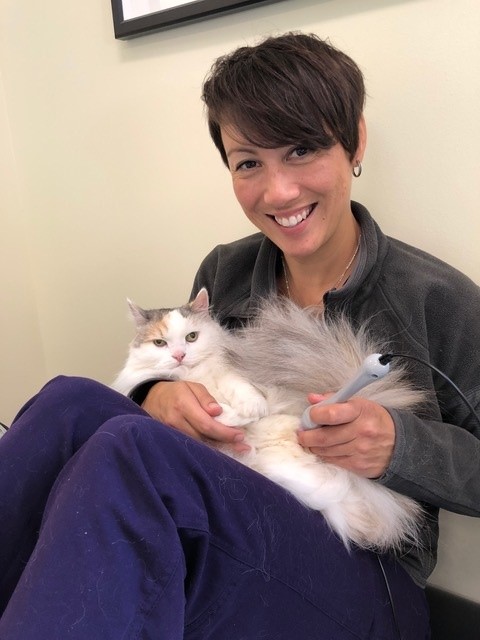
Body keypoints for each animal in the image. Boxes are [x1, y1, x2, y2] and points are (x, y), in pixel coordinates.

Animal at [111, 290, 424, 552]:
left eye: (191, 337)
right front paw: (223, 412)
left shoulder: (233, 372)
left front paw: (245, 408)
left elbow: (241, 391)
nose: (179, 355)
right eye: (159, 343)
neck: (193, 375)